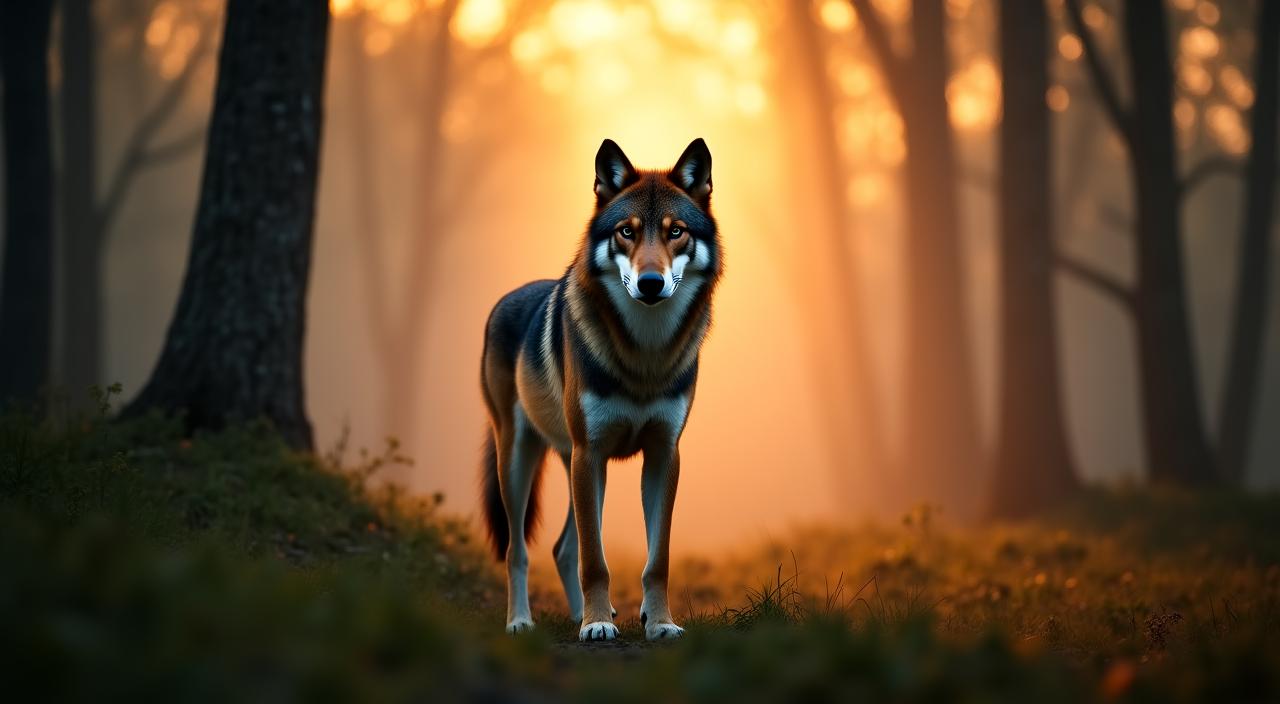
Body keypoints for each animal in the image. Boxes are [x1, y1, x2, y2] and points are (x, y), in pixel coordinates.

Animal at [479, 138, 722, 641]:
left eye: (676, 232)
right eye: (627, 232)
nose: (650, 283)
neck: (644, 355)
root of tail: (507, 297)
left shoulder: (663, 455)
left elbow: (656, 562)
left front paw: (659, 622)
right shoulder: (589, 452)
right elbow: (595, 559)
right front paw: (596, 626)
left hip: (584, 467)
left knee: (561, 548)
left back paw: (582, 615)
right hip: (526, 461)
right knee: (519, 550)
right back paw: (523, 621)